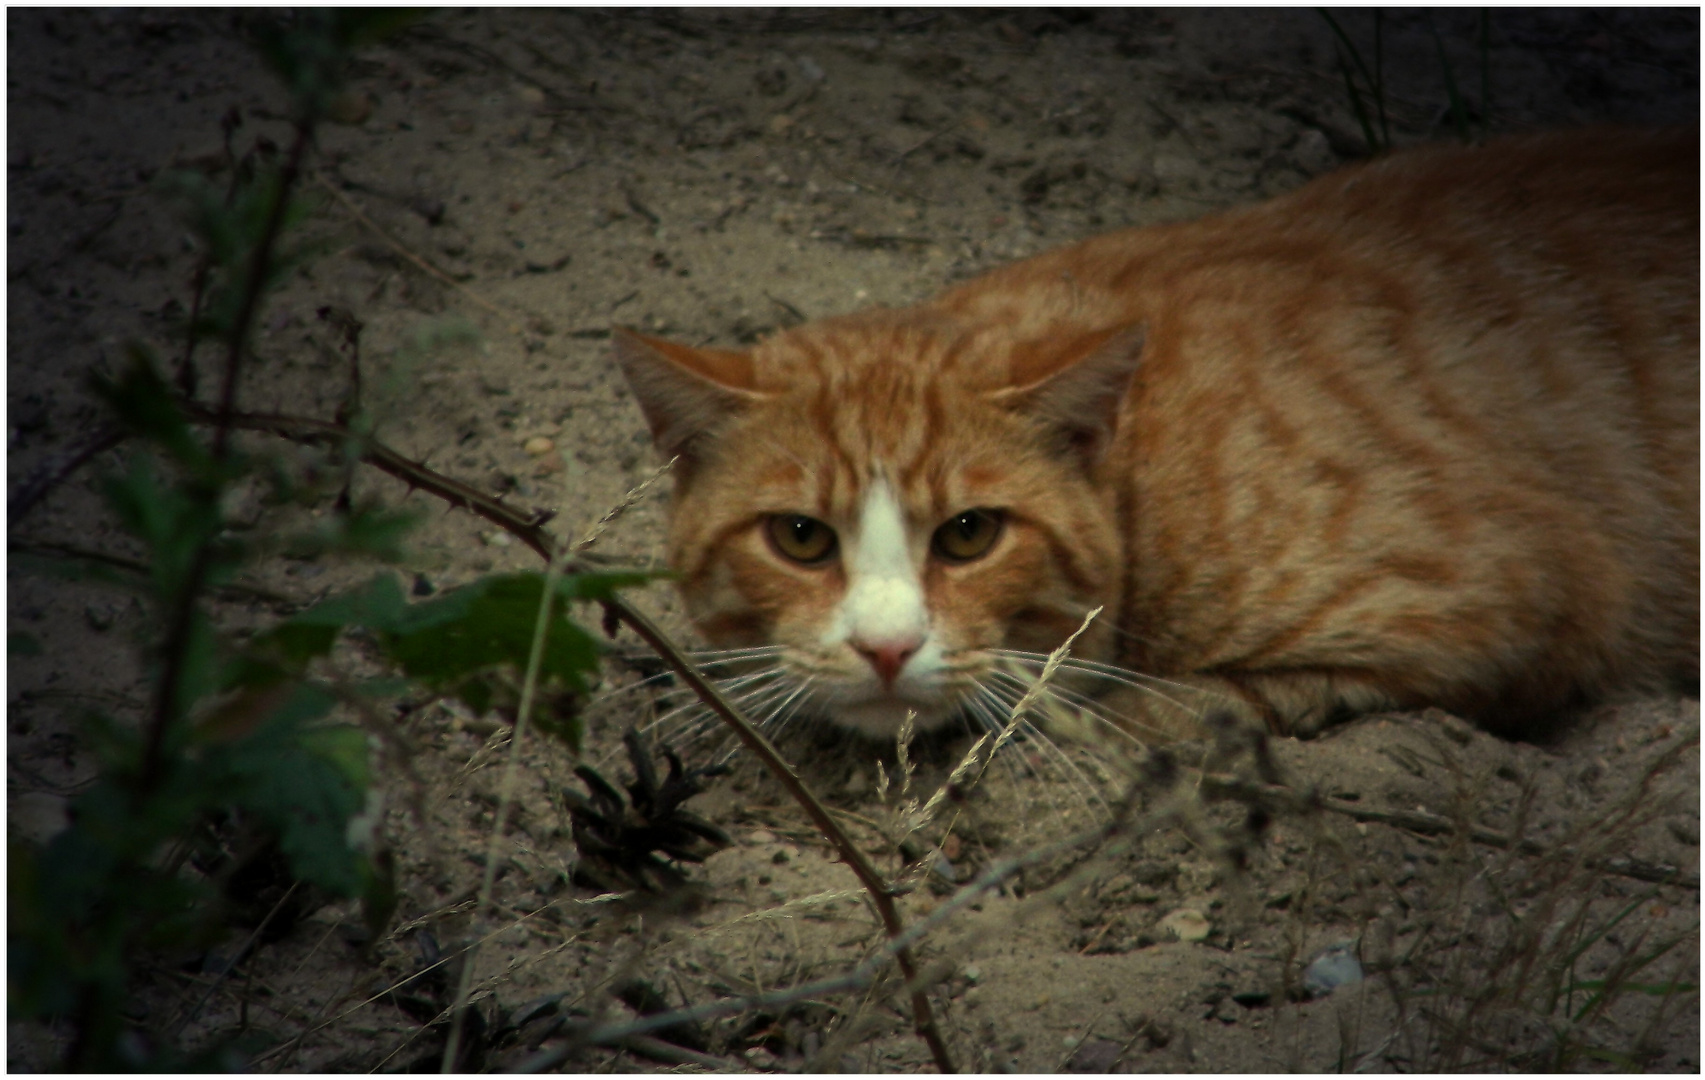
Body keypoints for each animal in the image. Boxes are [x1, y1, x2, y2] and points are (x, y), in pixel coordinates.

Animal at [610, 126, 1691, 743]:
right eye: (799, 538)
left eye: (969, 534)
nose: (885, 649)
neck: (1140, 477)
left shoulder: (1530, 590)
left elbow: (1193, 702)